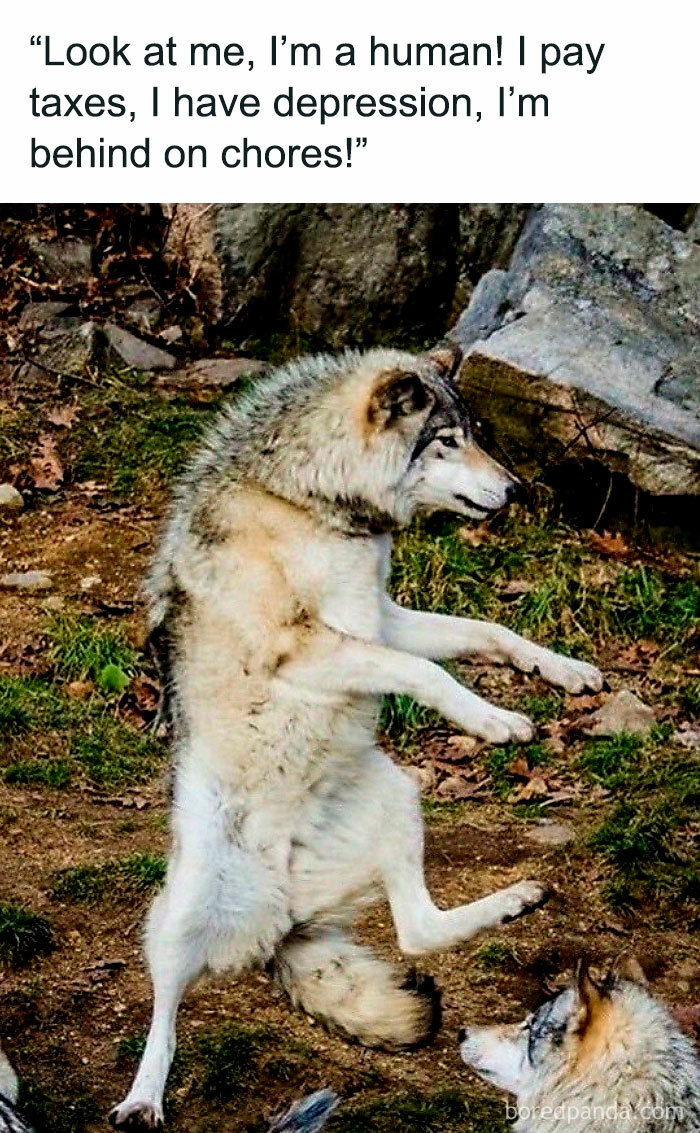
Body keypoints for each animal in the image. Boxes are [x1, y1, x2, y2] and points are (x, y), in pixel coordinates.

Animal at [110, 344, 602, 1128]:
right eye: (447, 439)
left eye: (476, 433)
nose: (516, 487)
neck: (304, 499)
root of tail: (285, 915)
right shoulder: (308, 647)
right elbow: (425, 668)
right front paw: (494, 719)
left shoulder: (382, 615)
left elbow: (487, 631)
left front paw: (567, 671)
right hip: (180, 914)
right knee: (164, 1015)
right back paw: (142, 1099)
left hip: (400, 798)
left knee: (417, 930)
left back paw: (518, 901)